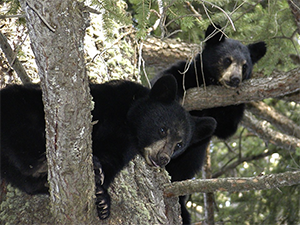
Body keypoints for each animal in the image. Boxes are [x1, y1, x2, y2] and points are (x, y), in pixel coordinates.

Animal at [0, 75, 217, 220]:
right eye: (162, 129)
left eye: (179, 144)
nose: (163, 158)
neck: (128, 121)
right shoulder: (106, 101)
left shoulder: (124, 145)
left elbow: (110, 160)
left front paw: (103, 199)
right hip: (18, 106)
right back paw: (40, 164)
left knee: (26, 182)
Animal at [151, 24, 266, 225]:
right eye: (227, 60)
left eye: (245, 66)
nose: (235, 79)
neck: (211, 80)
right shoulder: (189, 72)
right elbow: (165, 79)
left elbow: (227, 128)